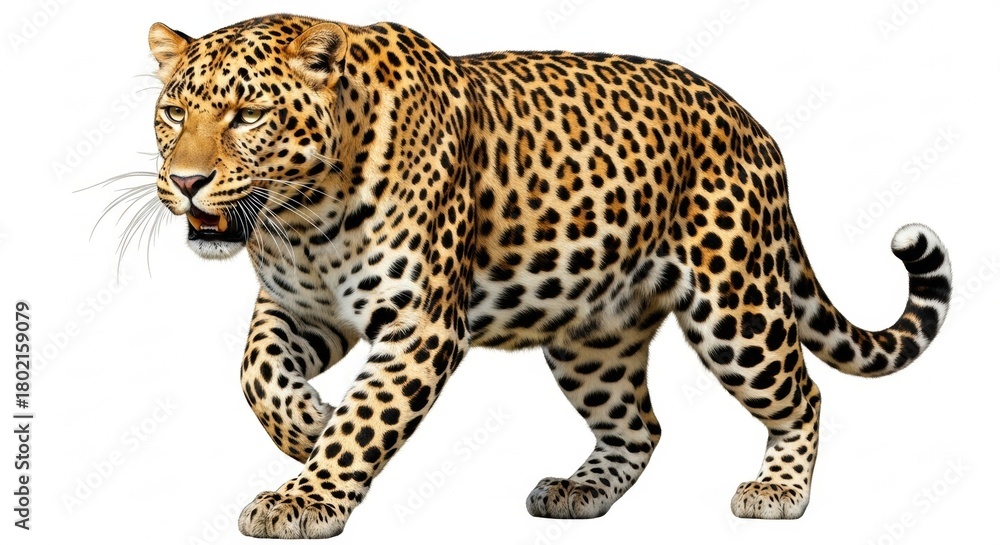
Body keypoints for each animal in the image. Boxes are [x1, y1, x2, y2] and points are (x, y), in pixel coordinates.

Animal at [143, 13, 952, 538]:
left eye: (249, 115)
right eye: (174, 113)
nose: (185, 182)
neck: (303, 219)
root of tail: (756, 127)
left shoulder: (419, 325)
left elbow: (366, 417)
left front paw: (306, 492)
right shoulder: (300, 310)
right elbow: (255, 373)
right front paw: (307, 424)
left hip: (736, 305)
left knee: (801, 393)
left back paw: (777, 489)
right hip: (592, 336)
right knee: (639, 425)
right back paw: (576, 491)